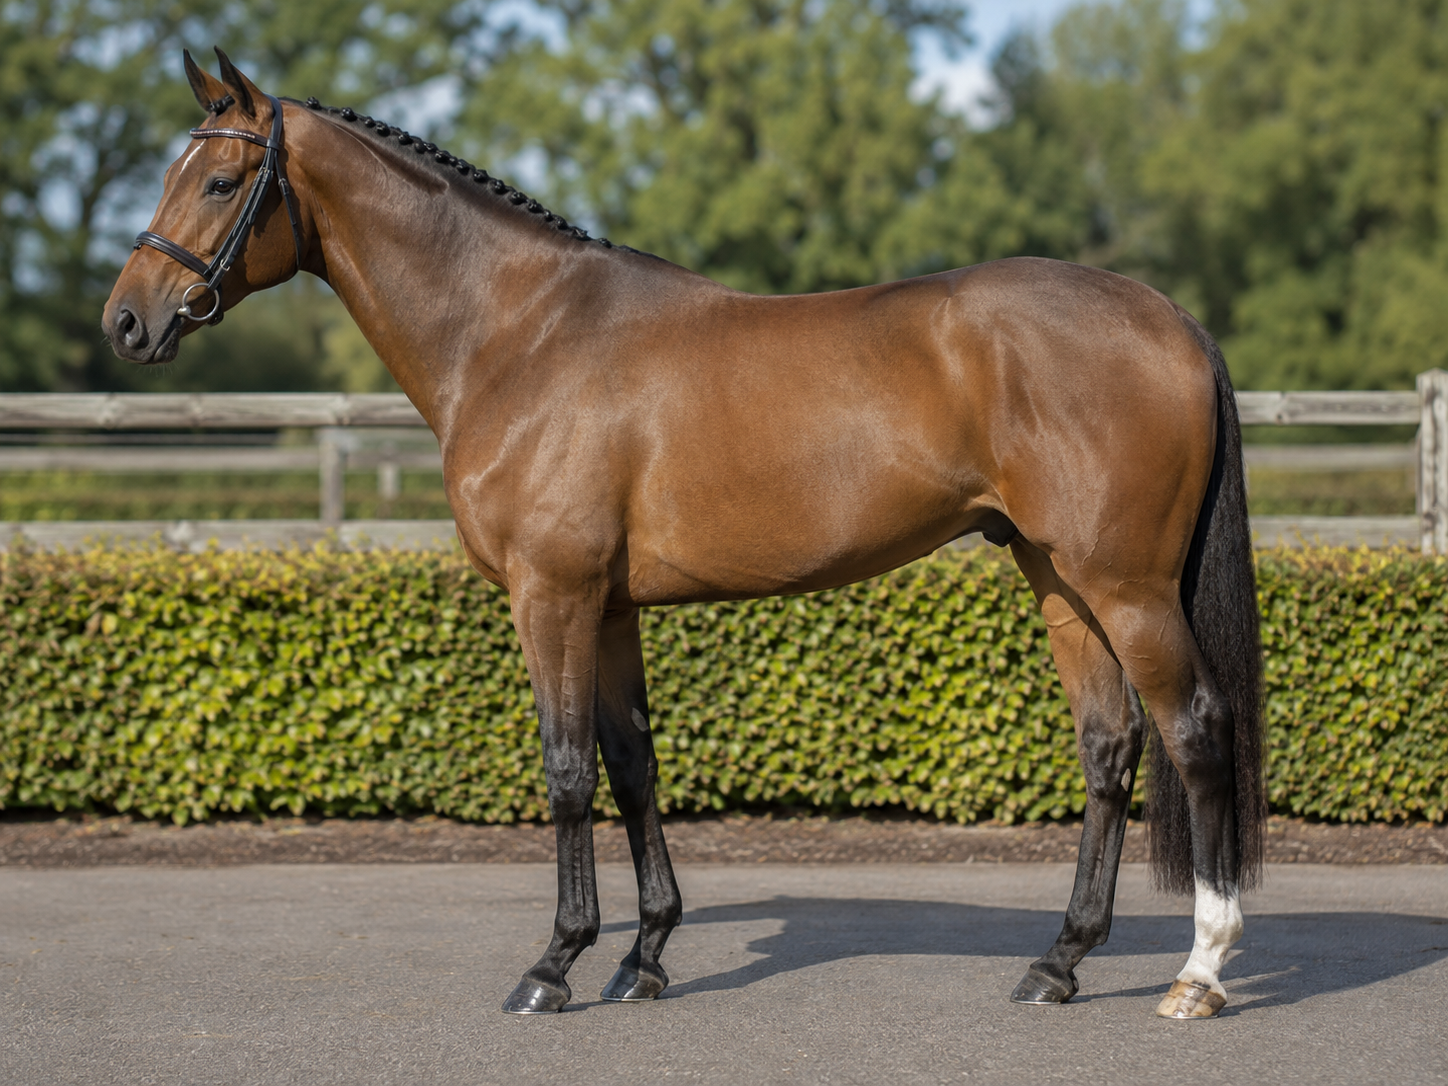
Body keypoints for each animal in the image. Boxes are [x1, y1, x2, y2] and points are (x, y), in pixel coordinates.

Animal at [104, 50, 1264, 1021]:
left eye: (219, 183)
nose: (127, 321)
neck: (518, 333)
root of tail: (1167, 317)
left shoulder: (551, 594)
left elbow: (567, 769)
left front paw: (554, 964)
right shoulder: (609, 604)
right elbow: (631, 765)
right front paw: (644, 955)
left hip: (1126, 587)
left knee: (1196, 729)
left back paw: (1198, 972)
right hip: (1058, 579)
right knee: (1108, 745)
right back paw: (1057, 962)